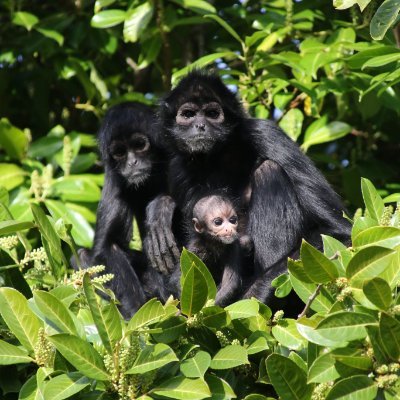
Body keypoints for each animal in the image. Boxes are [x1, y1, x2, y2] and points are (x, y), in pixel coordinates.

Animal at [145, 69, 350, 306]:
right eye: (188, 114)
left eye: (212, 113)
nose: (201, 126)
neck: (216, 158)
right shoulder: (177, 169)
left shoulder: (264, 132)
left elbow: (338, 231)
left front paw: (255, 296)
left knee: (268, 169)